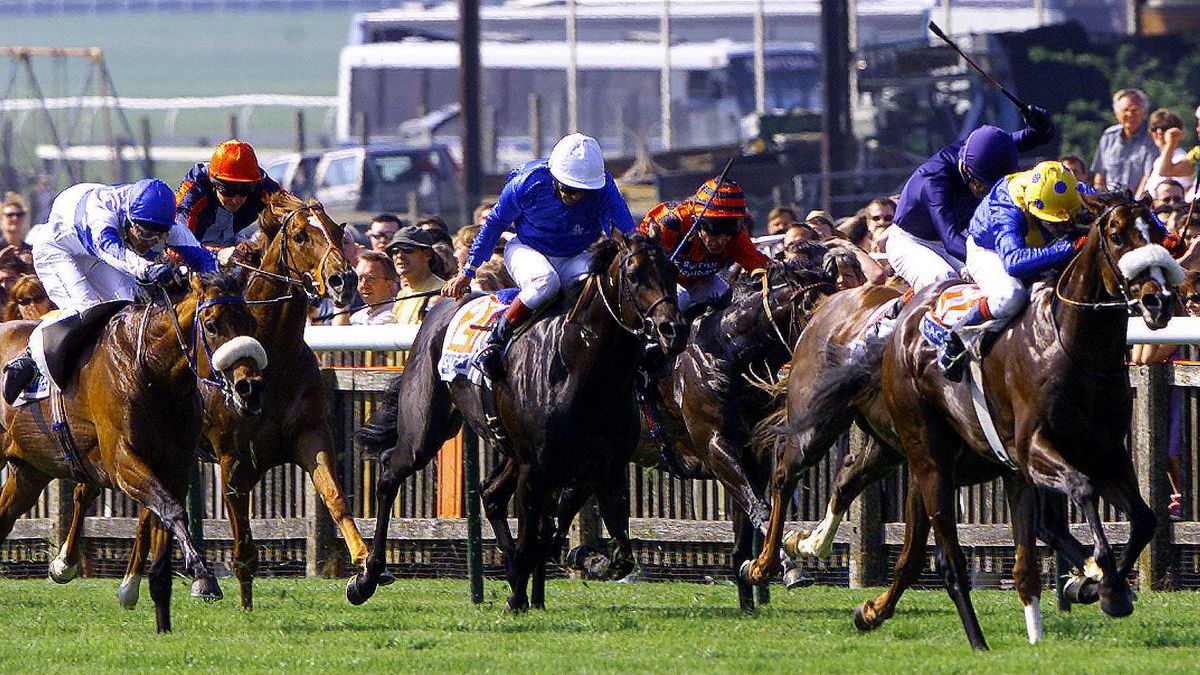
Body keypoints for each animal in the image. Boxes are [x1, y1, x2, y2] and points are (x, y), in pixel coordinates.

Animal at [0, 269, 265, 629]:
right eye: (211, 324)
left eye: (250, 321)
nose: (250, 388)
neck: (152, 370)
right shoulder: (123, 462)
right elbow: (171, 510)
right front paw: (203, 577)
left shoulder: (174, 466)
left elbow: (160, 523)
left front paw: (150, 603)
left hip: (30, 471)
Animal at [51, 190, 360, 610]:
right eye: (299, 235)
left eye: (337, 231)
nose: (344, 280)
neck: (274, 360)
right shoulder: (231, 457)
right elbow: (242, 543)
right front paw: (243, 604)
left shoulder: (310, 435)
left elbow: (336, 498)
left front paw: (366, 570)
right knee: (90, 490)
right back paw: (68, 564)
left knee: (148, 510)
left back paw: (133, 583)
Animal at [343, 230, 691, 610]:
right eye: (633, 274)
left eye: (673, 271)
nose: (673, 330)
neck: (579, 368)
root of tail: (440, 309)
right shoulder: (536, 469)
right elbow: (535, 539)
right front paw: (522, 590)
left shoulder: (604, 468)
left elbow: (616, 553)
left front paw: (569, 564)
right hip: (425, 429)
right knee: (389, 475)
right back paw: (367, 577)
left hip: (509, 449)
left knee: (491, 493)